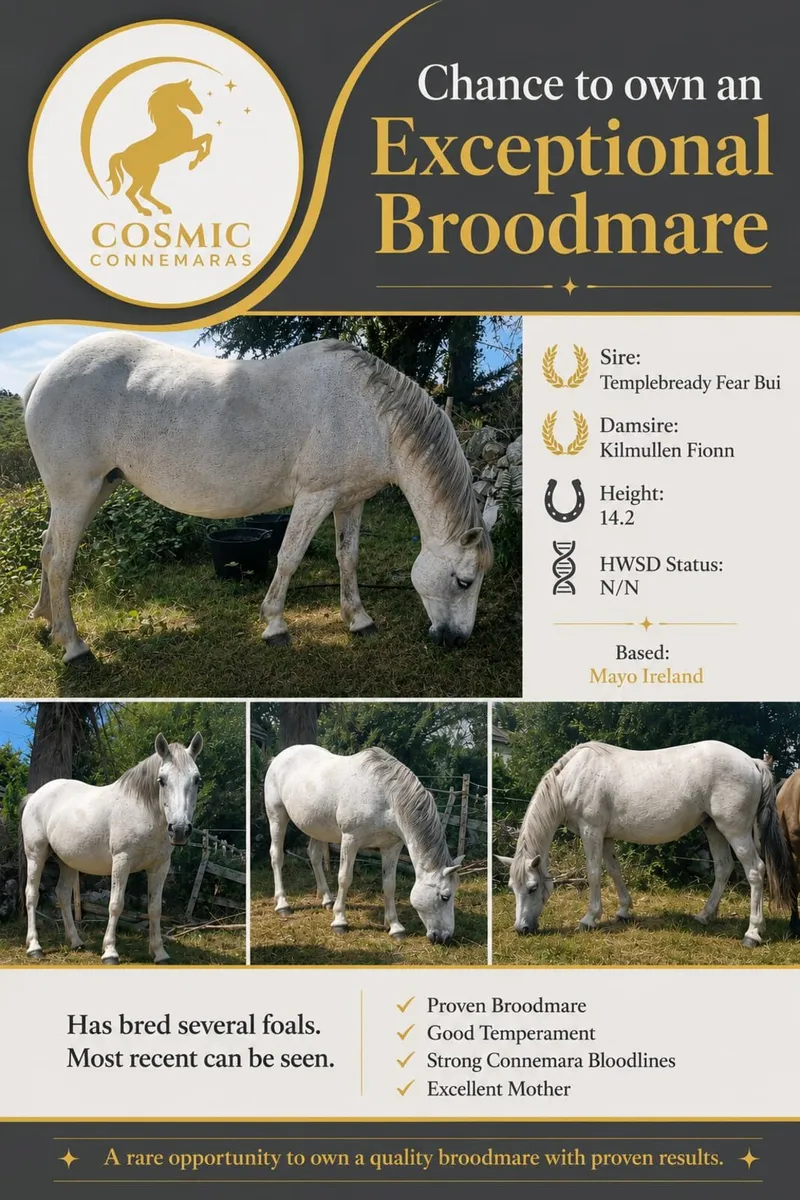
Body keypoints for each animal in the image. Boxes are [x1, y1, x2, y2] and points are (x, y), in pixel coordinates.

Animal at [20, 733, 203, 963]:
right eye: (162, 780)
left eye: (197, 780)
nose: (179, 829)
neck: (143, 811)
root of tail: (35, 796)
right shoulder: (121, 862)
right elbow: (116, 905)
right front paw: (110, 951)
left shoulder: (160, 867)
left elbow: (155, 909)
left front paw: (160, 952)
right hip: (35, 855)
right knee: (32, 895)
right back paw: (35, 947)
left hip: (67, 862)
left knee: (62, 894)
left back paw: (76, 941)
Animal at [22, 333, 493, 663]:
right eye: (464, 581)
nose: (457, 640)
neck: (370, 412)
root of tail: (44, 375)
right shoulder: (315, 496)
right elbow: (289, 557)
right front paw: (275, 626)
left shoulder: (349, 500)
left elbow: (348, 558)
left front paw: (358, 620)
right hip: (76, 493)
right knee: (60, 562)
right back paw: (74, 646)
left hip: (95, 490)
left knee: (47, 549)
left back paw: (46, 620)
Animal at [107, 80, 211, 216]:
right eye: (187, 94)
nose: (200, 109)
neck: (172, 125)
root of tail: (123, 154)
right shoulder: (184, 147)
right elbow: (201, 144)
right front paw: (193, 164)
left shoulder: (188, 144)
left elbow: (208, 137)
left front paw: (199, 159)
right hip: (148, 173)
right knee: (138, 192)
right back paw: (152, 210)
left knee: (138, 192)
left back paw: (156, 209)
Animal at [264, 744, 463, 944]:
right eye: (445, 897)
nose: (445, 937)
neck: (384, 795)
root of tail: (278, 758)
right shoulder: (350, 840)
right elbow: (344, 878)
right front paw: (340, 921)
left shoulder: (391, 846)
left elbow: (389, 884)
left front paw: (395, 926)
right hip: (277, 818)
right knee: (276, 857)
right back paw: (282, 904)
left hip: (316, 827)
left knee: (314, 856)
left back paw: (327, 899)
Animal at [497, 740, 796, 947]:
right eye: (513, 888)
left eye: (533, 888)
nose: (521, 929)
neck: (574, 776)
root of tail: (753, 762)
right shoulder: (606, 836)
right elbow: (614, 871)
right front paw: (623, 911)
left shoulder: (591, 831)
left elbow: (594, 873)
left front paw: (590, 918)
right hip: (714, 828)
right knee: (723, 868)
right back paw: (704, 916)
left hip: (735, 830)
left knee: (755, 871)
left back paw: (752, 933)